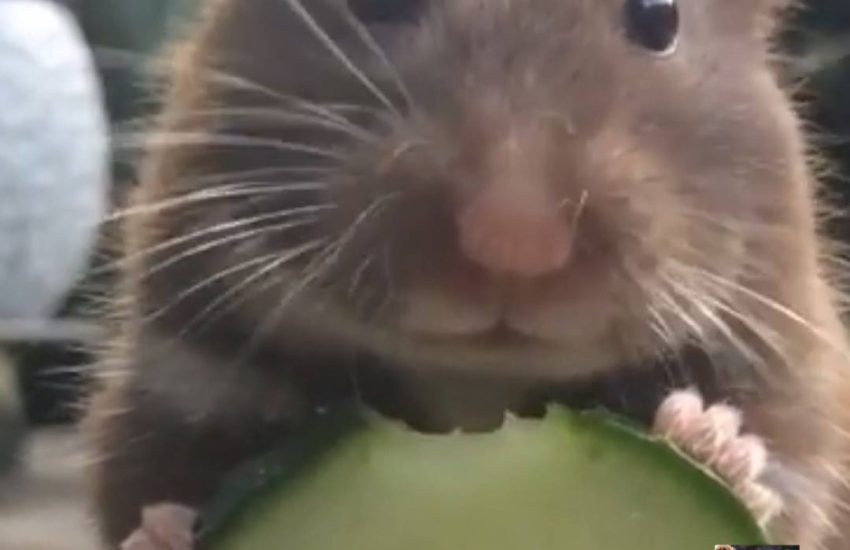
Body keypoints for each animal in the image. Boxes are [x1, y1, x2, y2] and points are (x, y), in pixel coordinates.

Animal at [83, 0, 850, 548]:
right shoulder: (172, 376)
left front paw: (709, 439)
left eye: (658, 16)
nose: (514, 240)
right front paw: (162, 531)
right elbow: (139, 492)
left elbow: (785, 478)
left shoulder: (793, 372)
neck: (477, 387)